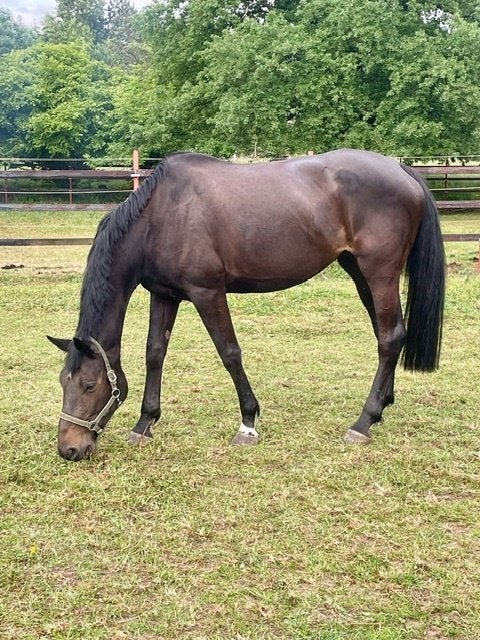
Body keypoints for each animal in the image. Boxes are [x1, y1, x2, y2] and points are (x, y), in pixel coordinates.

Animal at [48, 149, 445, 461]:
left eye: (89, 385)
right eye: (63, 382)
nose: (69, 449)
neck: (162, 215)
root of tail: (401, 170)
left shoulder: (207, 293)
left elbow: (229, 353)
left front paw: (248, 423)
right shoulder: (164, 295)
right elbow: (155, 354)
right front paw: (145, 423)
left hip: (379, 273)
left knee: (390, 338)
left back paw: (363, 422)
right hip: (359, 272)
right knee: (387, 333)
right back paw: (383, 405)